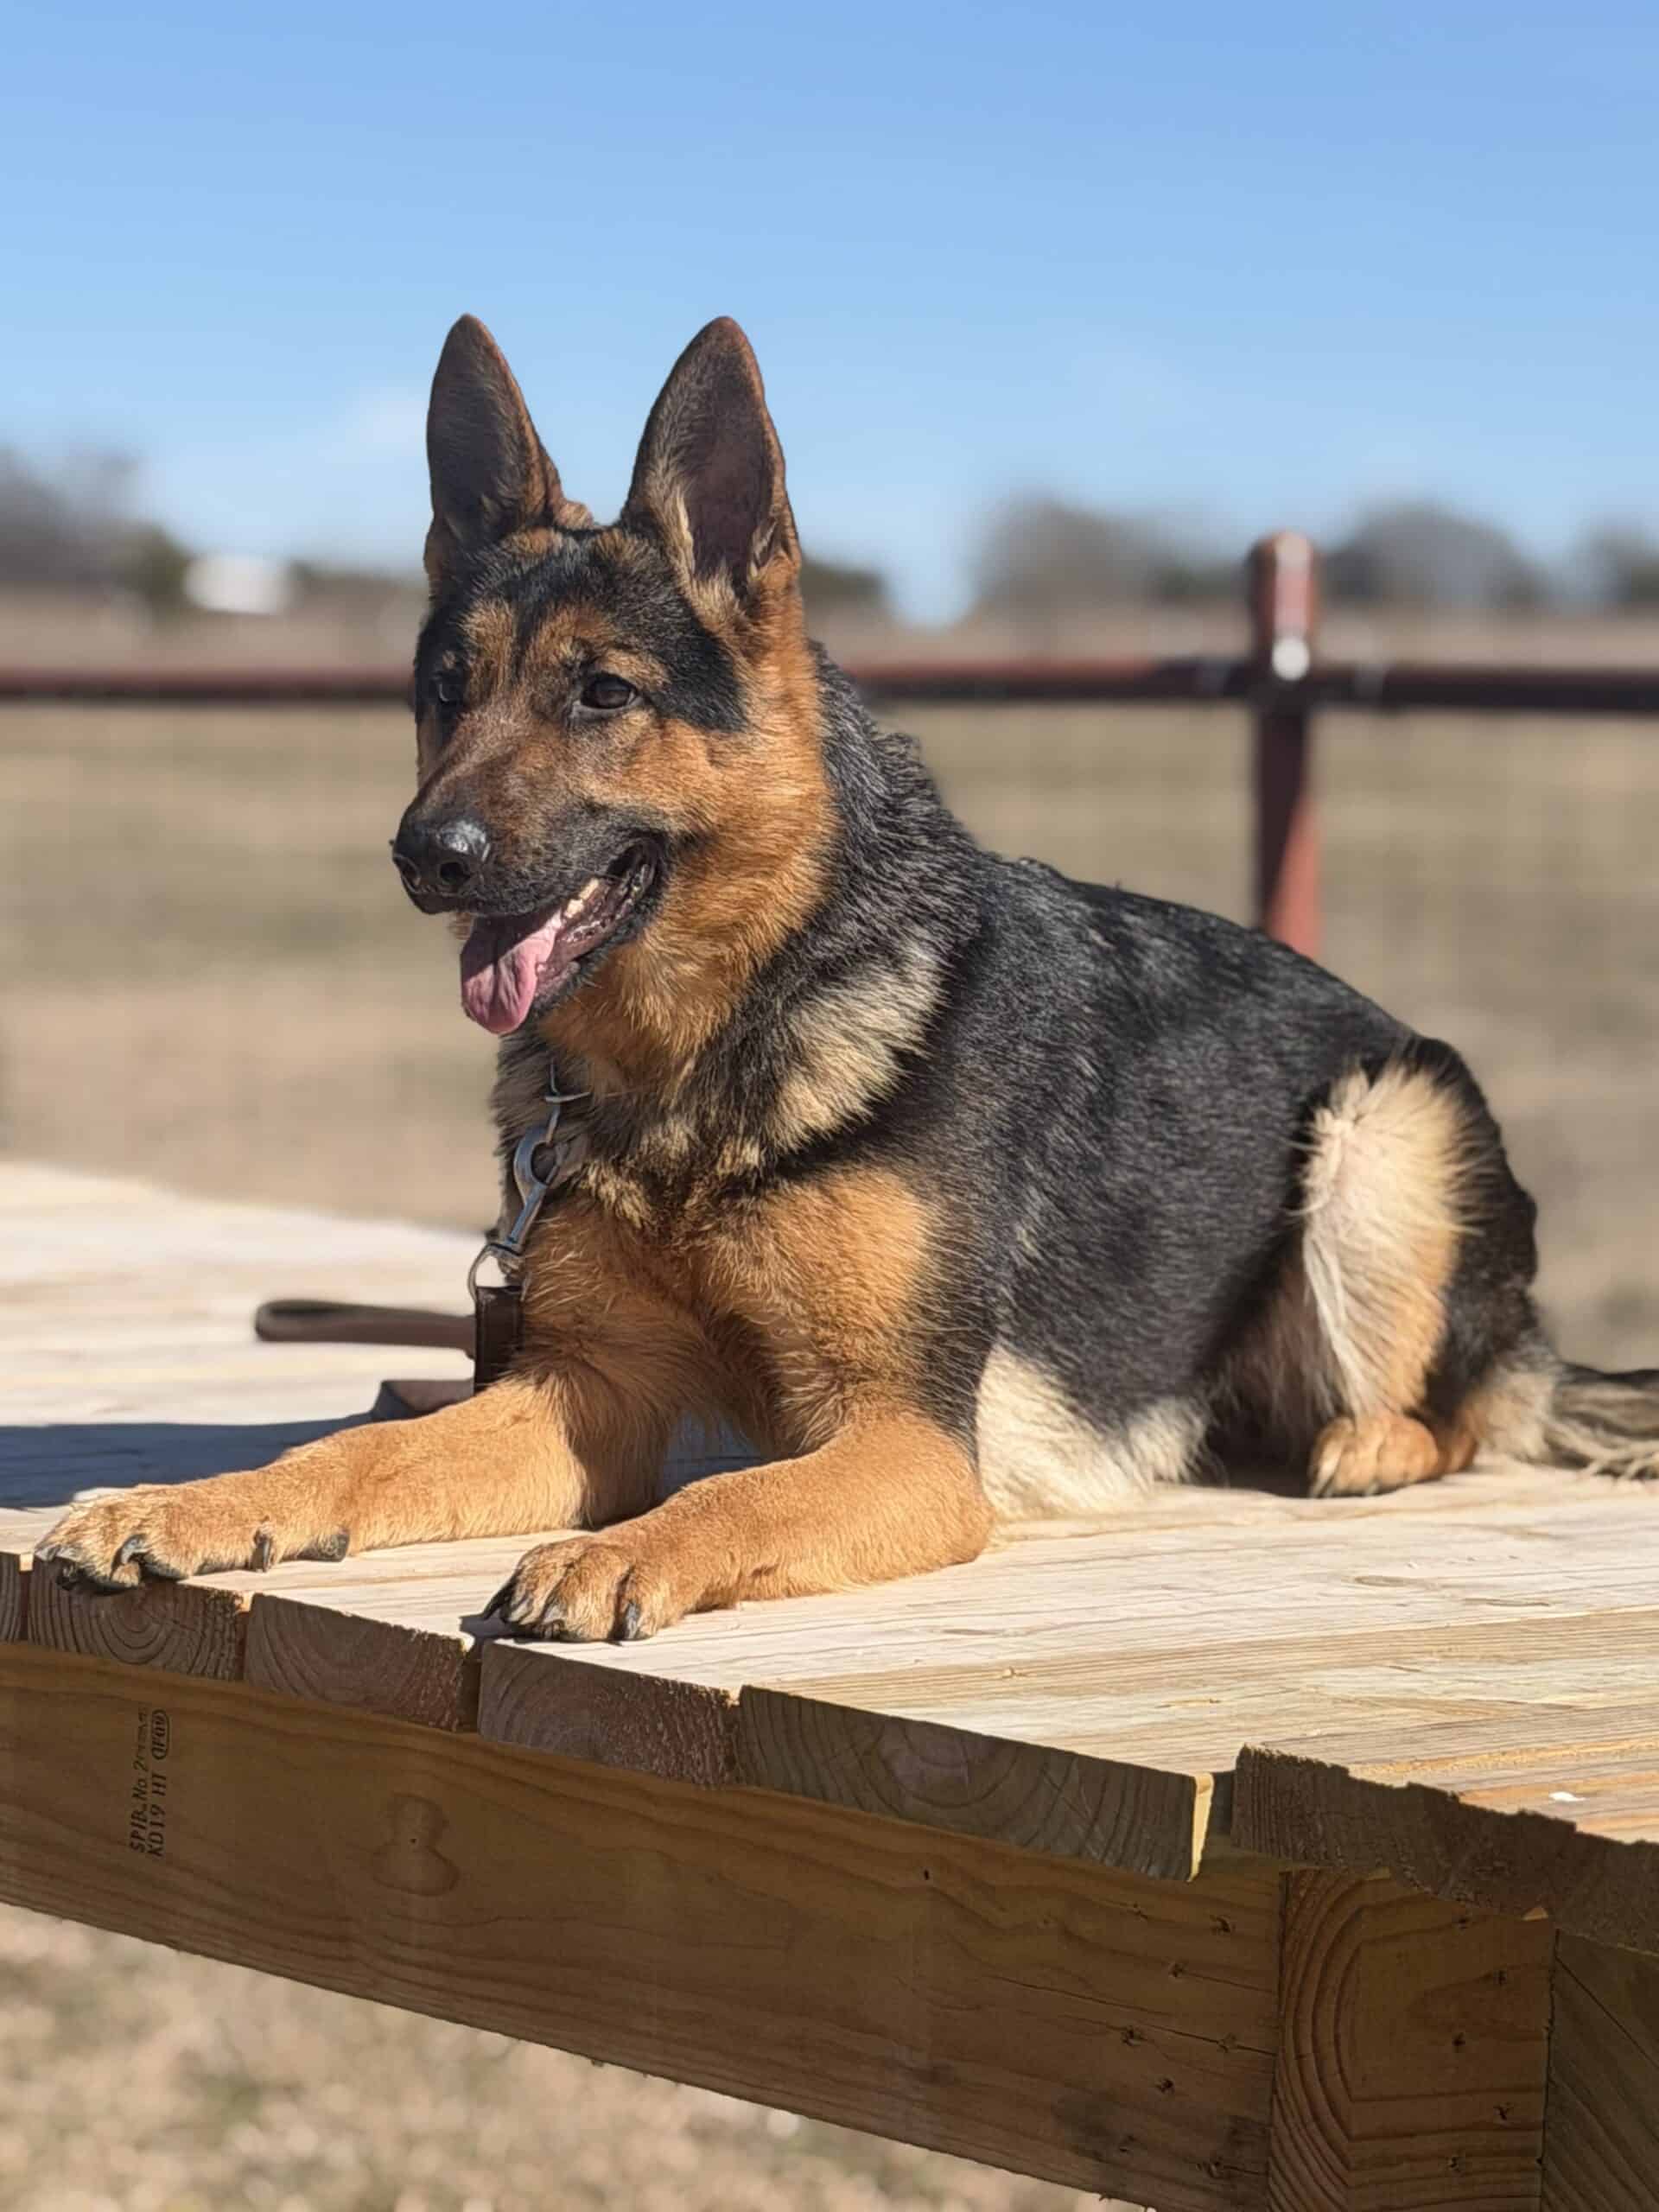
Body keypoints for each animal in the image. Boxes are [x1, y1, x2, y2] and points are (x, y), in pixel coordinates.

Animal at [39, 314, 1659, 1638]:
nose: (424, 855)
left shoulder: (907, 1442)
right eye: (447, 691)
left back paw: (1368, 1441)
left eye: (603, 694)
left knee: (1465, 1405)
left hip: (1384, 1123)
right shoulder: (581, 1396)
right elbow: (362, 1449)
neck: (714, 1039)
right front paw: (195, 1503)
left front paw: (622, 1553)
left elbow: (730, 1494)